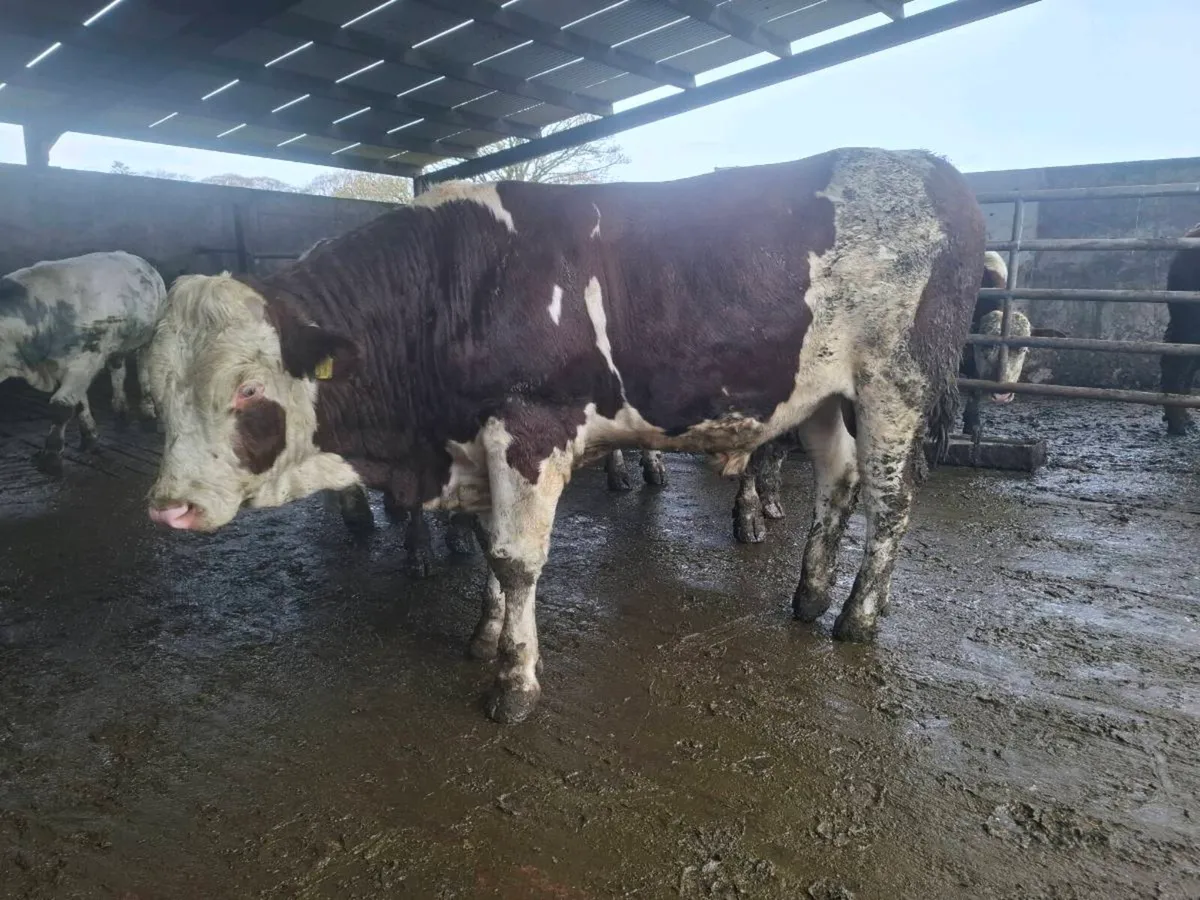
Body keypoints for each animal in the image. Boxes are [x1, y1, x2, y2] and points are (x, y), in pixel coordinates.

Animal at [1, 250, 165, 475]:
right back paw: (120, 408)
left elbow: (61, 408)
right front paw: (89, 437)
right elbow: (78, 403)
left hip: (149, 337)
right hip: (118, 343)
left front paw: (51, 456)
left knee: (144, 370)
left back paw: (147, 409)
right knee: (118, 369)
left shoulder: (84, 360)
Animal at [142, 147, 987, 724]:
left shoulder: (530, 430)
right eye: (155, 390)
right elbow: (491, 547)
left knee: (891, 502)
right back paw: (809, 596)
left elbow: (518, 560)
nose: (168, 506)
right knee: (838, 487)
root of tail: (931, 167)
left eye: (247, 389)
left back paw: (856, 620)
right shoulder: (478, 444)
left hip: (896, 383)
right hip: (820, 396)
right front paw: (485, 636)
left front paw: (513, 683)